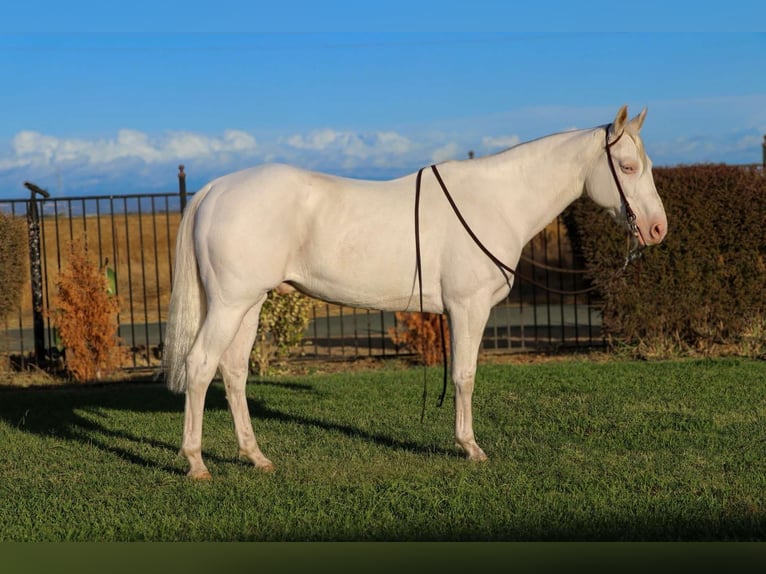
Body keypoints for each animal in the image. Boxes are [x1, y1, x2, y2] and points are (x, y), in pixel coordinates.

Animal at [166, 106, 664, 480]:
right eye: (627, 166)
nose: (658, 229)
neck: (495, 201)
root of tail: (216, 188)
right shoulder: (468, 307)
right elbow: (465, 375)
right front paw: (470, 447)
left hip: (248, 304)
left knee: (232, 372)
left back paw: (256, 457)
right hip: (230, 304)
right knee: (200, 366)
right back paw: (196, 463)